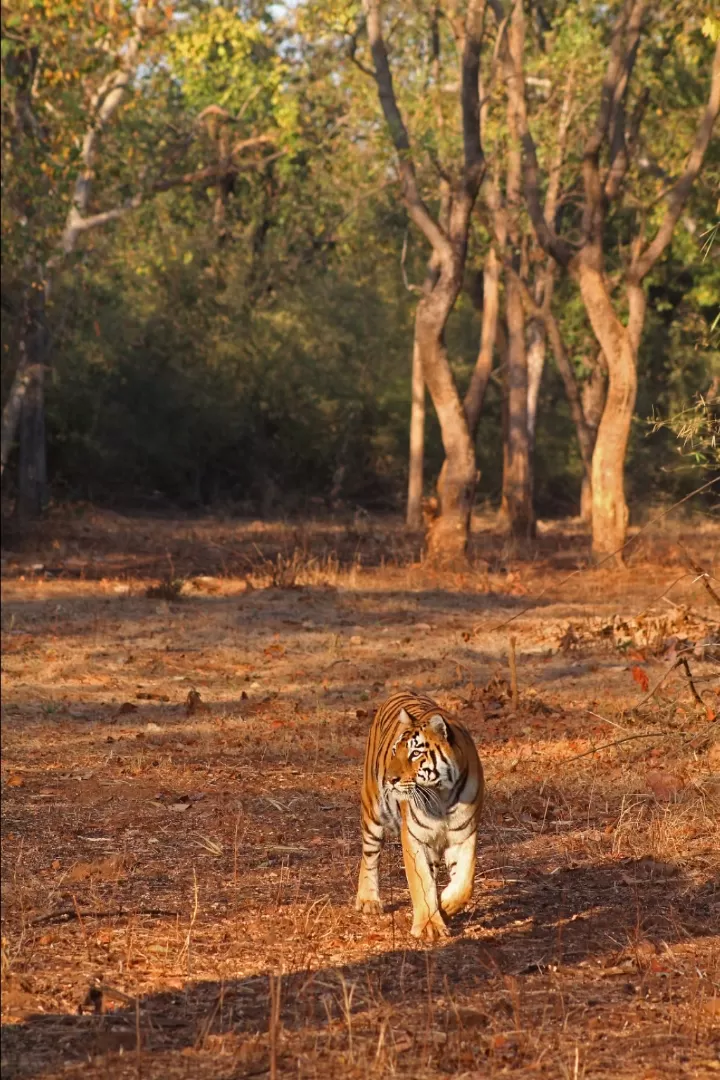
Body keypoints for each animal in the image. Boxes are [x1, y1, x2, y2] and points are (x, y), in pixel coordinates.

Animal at [354, 695, 483, 941]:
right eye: (395, 750)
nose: (390, 779)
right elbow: (422, 882)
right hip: (373, 812)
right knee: (369, 855)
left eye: (415, 753)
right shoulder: (415, 837)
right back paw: (368, 900)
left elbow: (464, 884)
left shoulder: (464, 835)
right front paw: (429, 925)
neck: (442, 795)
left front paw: (444, 907)